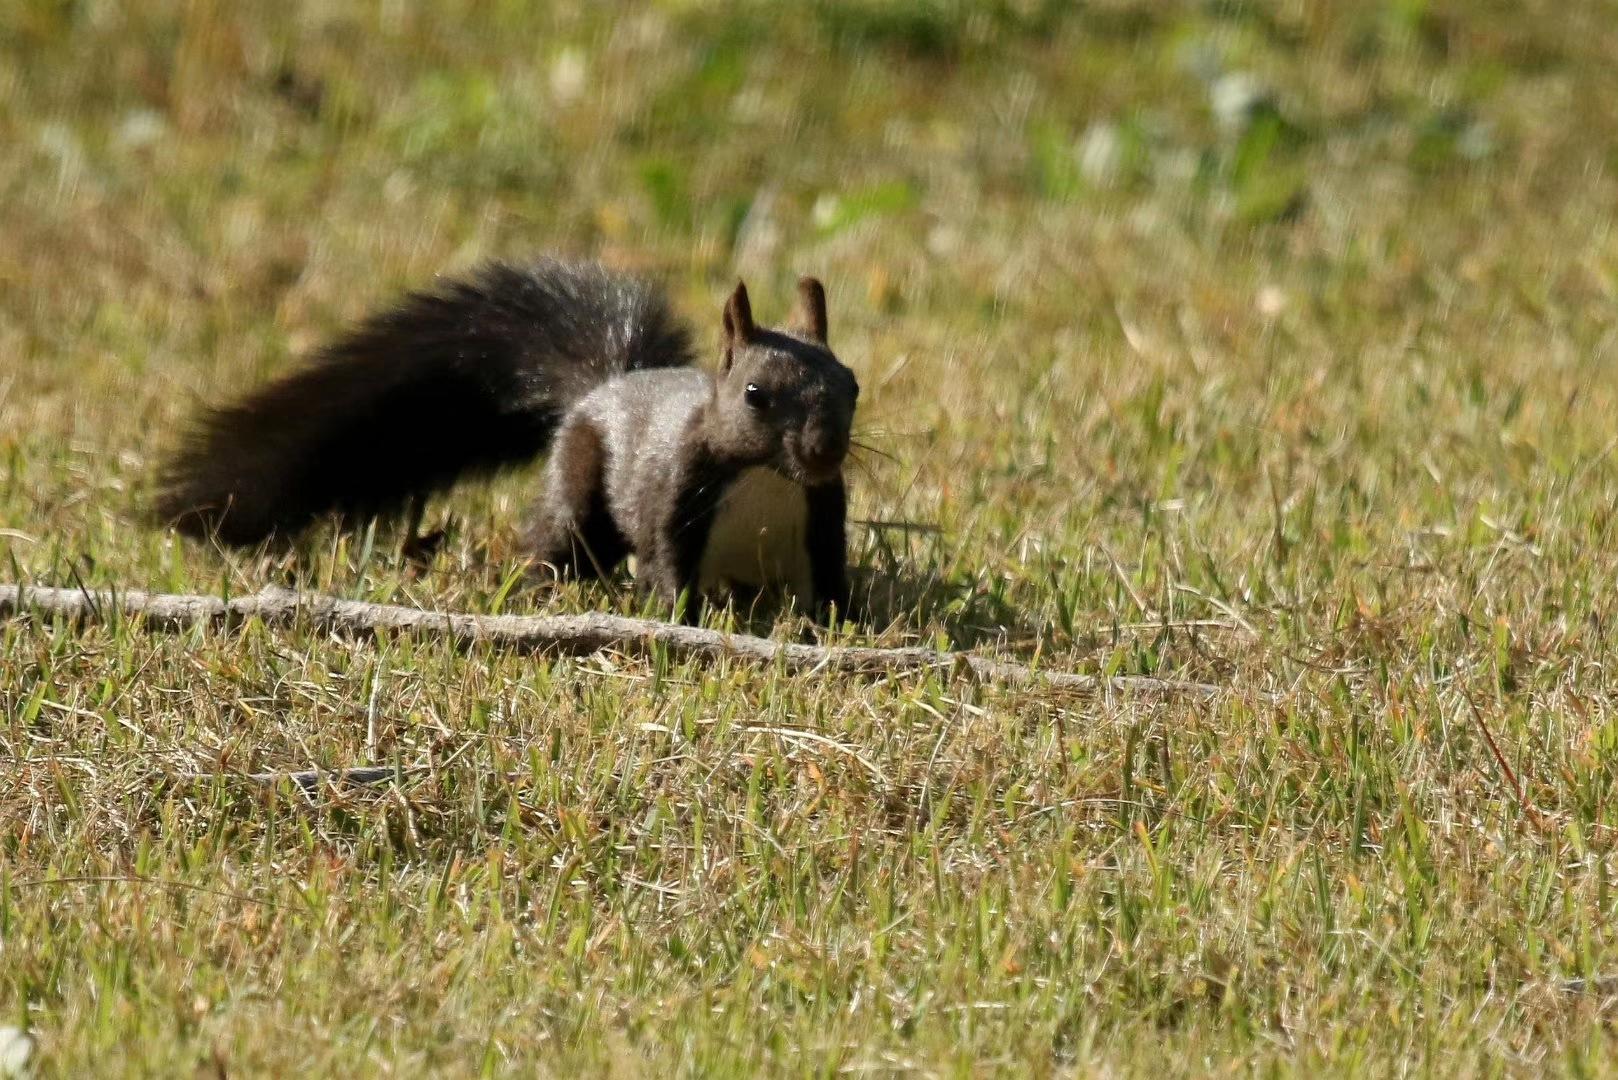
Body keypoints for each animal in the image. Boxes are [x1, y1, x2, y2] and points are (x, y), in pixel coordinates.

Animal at [154, 257, 860, 621]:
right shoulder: (677, 496)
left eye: (852, 385)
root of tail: (603, 385)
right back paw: (544, 585)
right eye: (755, 394)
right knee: (560, 536)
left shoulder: (823, 514)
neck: (768, 478)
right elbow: (669, 564)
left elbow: (828, 581)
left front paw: (837, 625)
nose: (825, 451)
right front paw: (677, 620)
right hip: (579, 482)